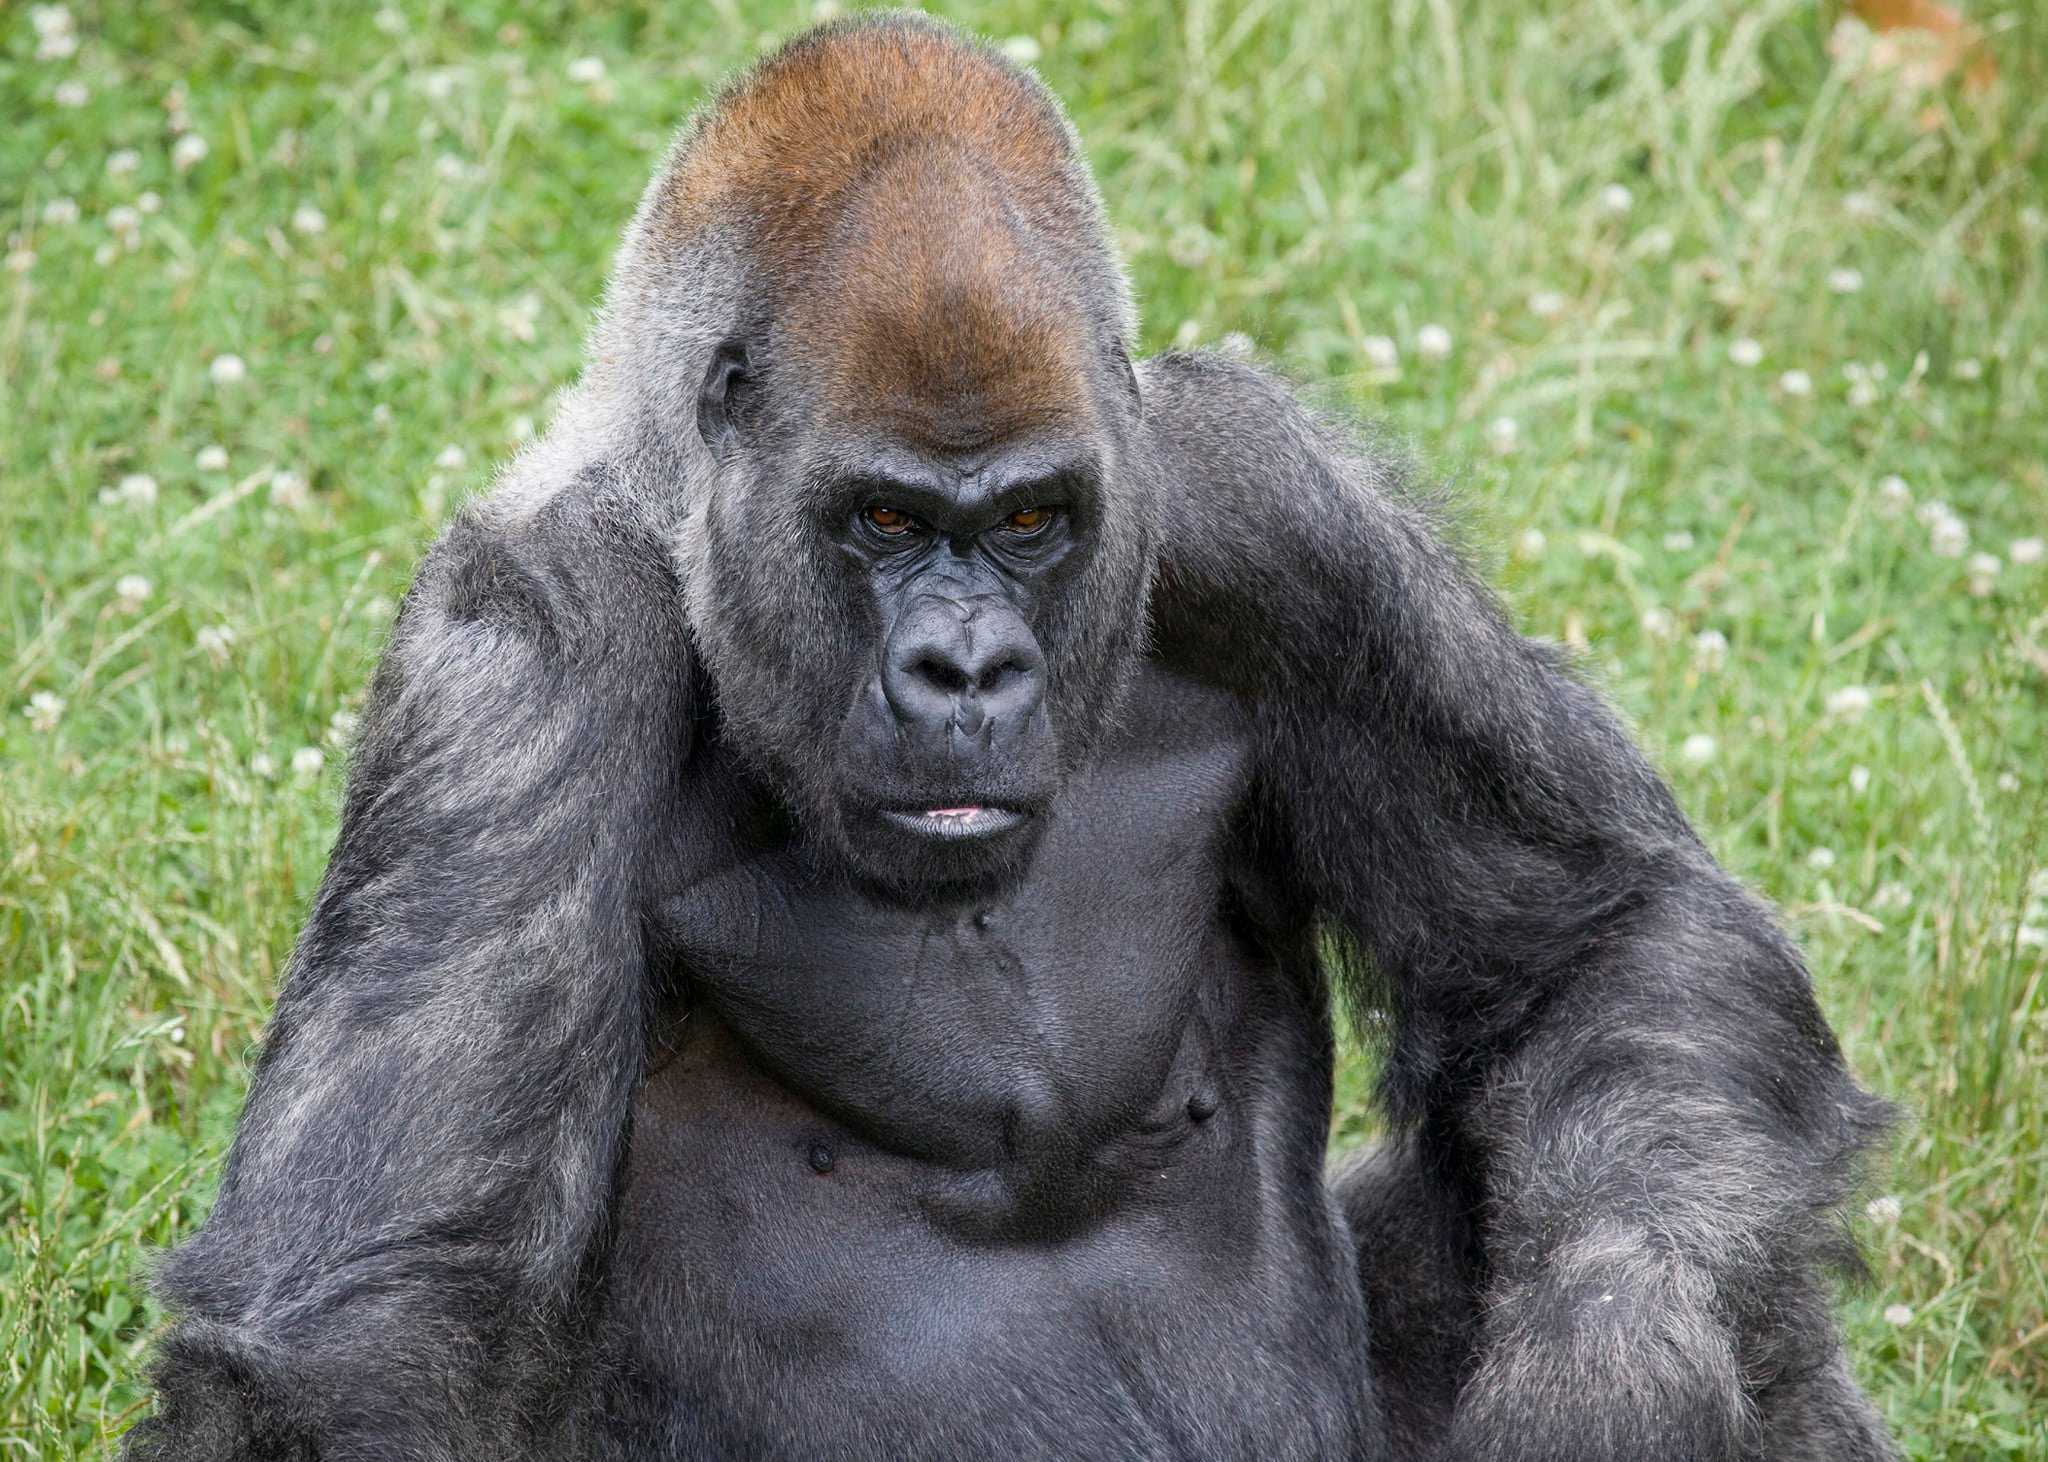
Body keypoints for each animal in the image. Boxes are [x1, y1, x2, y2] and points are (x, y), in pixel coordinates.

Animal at [124, 15, 1896, 1460]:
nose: (965, 667)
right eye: (887, 519)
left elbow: (1598, 942)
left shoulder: (1272, 510)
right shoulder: (529, 649)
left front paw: (1618, 1373)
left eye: (1033, 519)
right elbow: (370, 1320)